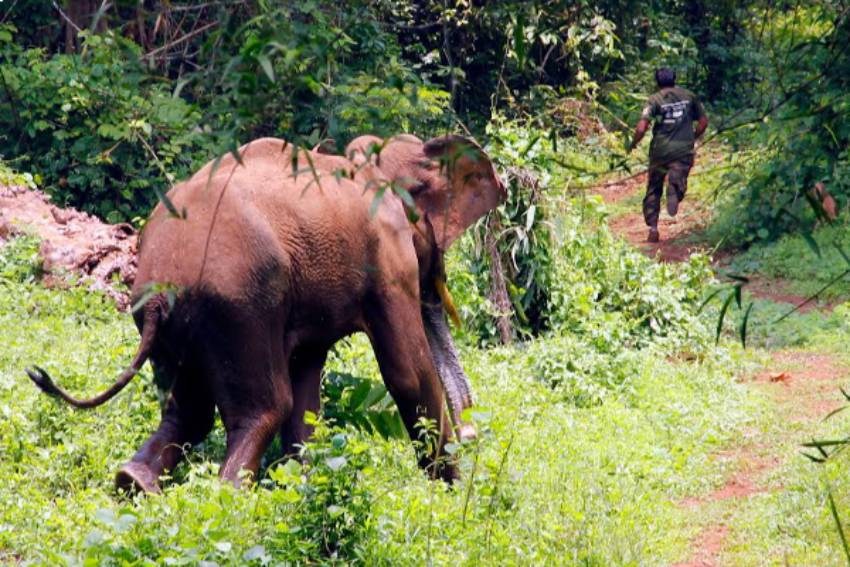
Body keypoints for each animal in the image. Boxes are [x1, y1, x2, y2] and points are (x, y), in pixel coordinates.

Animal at [27, 134, 506, 494]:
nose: (472, 438)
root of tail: (163, 288)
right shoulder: (388, 260)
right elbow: (407, 374)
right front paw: (448, 492)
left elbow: (308, 384)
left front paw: (307, 487)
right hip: (240, 306)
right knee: (266, 405)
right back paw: (229, 496)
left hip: (169, 318)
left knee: (189, 409)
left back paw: (133, 483)